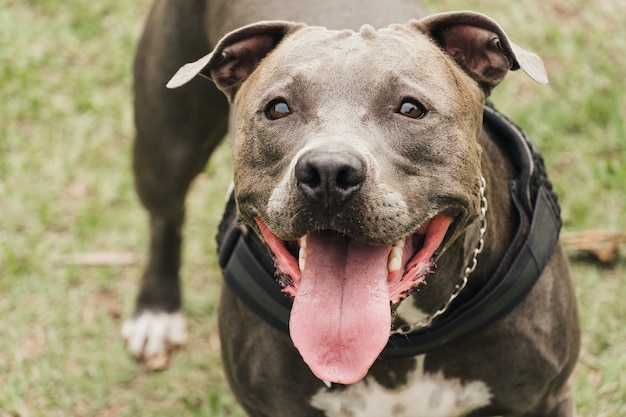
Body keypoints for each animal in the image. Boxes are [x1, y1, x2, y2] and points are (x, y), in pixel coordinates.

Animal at [124, 1, 576, 414]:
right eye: (278, 108)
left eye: (411, 108)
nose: (328, 171)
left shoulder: (545, 400)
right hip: (166, 148)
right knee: (165, 219)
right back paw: (157, 311)